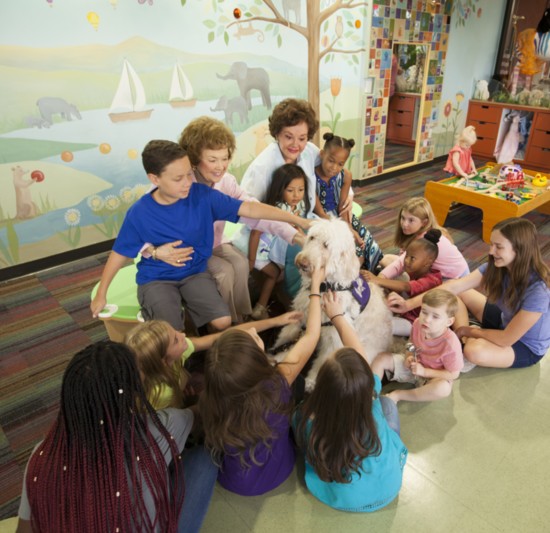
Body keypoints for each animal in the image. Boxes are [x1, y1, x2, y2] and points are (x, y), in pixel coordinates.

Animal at [270, 217, 392, 390]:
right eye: (312, 237)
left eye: (326, 245)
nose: (302, 262)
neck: (325, 287)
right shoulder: (302, 318)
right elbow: (288, 337)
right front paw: (278, 355)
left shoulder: (334, 335)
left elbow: (324, 358)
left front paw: (312, 380)